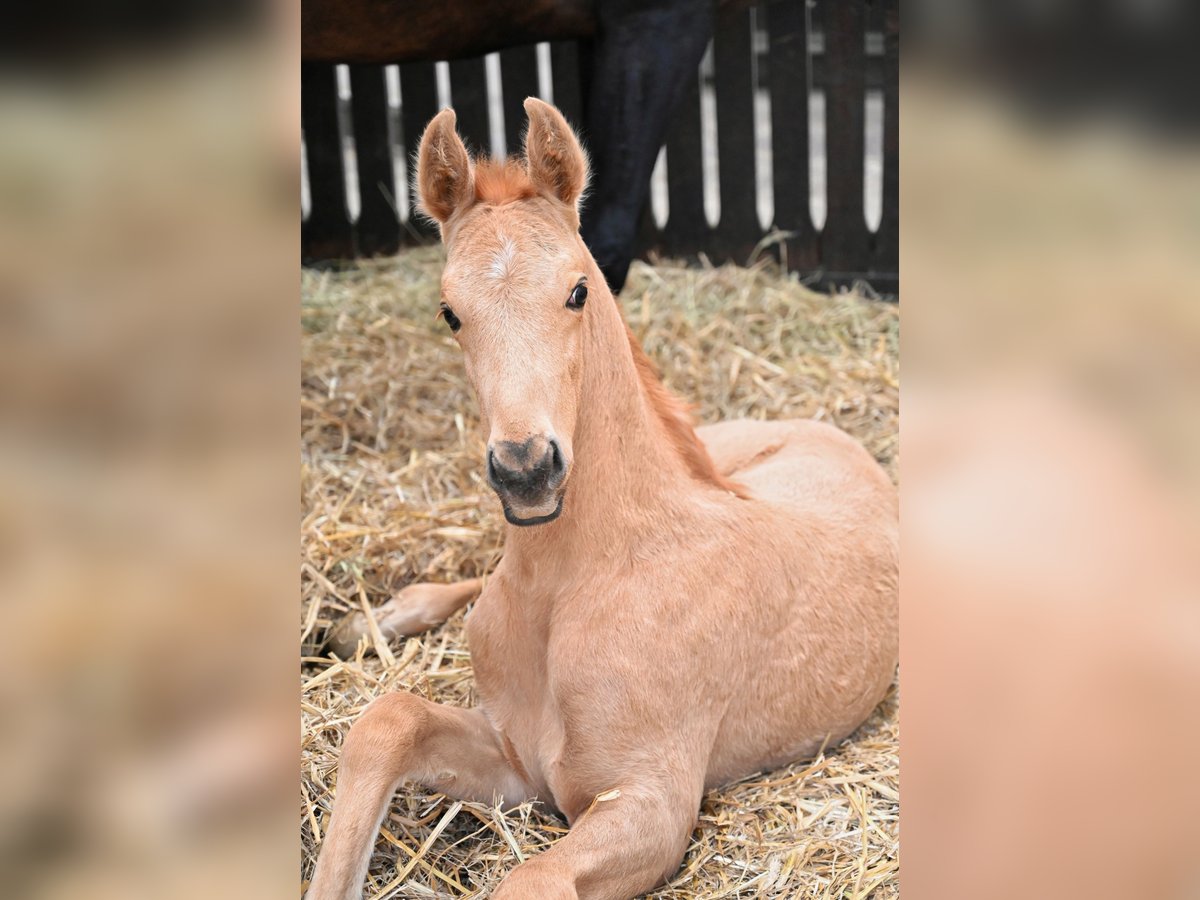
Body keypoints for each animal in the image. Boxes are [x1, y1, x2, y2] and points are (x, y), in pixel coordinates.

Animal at [304, 98, 897, 900]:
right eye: (449, 311)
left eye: (578, 289)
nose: (526, 469)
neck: (578, 580)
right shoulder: (518, 759)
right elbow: (387, 721)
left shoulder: (647, 803)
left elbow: (525, 882)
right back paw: (371, 623)